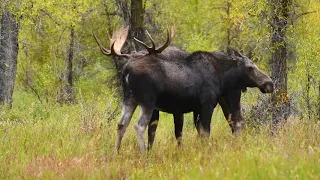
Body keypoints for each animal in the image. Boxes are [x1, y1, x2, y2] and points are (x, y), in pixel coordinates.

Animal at [93, 27, 272, 152]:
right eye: (250, 67)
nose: (269, 82)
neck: (221, 75)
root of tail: (126, 70)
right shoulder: (206, 104)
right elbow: (205, 132)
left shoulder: (188, 109)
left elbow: (189, 133)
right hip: (147, 101)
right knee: (139, 126)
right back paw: (143, 155)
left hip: (130, 99)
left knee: (121, 124)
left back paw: (116, 152)